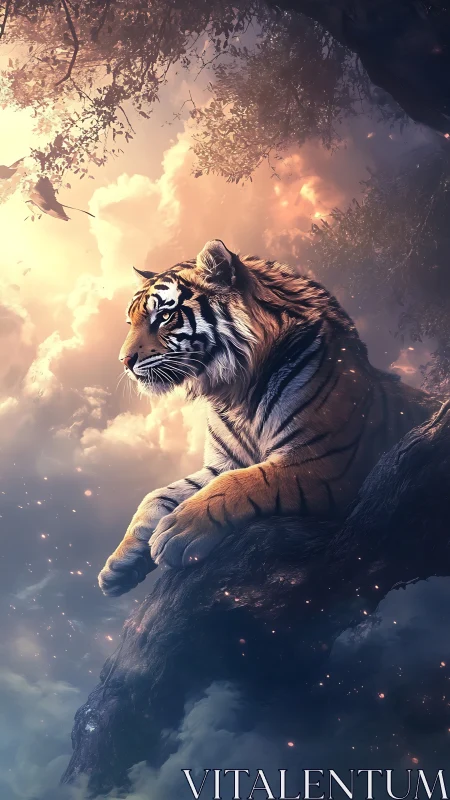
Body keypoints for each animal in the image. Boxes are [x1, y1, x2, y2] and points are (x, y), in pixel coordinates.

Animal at [98, 239, 440, 596]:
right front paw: (119, 564)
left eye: (164, 316)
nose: (124, 361)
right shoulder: (224, 462)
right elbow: (157, 495)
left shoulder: (324, 461)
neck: (234, 390)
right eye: (131, 322)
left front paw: (176, 531)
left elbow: (243, 482)